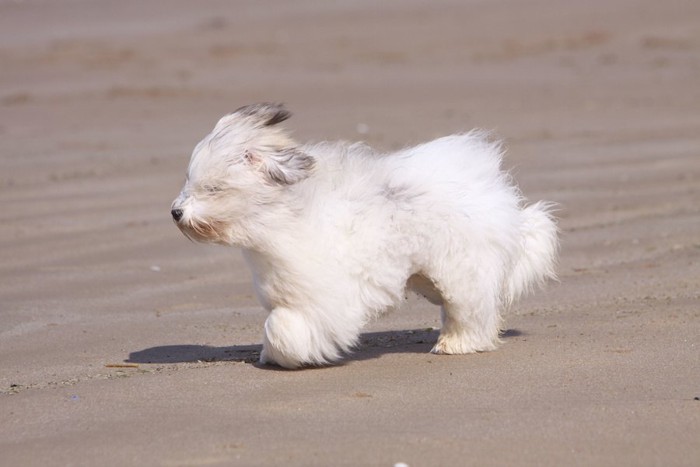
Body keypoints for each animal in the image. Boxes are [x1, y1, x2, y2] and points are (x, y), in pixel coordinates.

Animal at [171, 103, 556, 370]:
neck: (283, 220)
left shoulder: (320, 302)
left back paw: (456, 343)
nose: (176, 212)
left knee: (472, 310)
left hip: (461, 269)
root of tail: (493, 190)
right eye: (189, 181)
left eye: (212, 189)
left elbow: (283, 328)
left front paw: (285, 355)